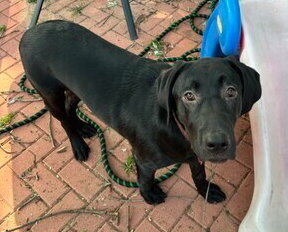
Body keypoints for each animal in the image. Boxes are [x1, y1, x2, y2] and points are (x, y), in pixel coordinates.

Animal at [19, 20, 260, 205]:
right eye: (188, 96)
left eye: (231, 91)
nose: (217, 144)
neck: (175, 128)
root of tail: (29, 32)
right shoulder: (144, 161)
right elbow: (145, 179)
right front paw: (148, 194)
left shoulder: (194, 156)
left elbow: (198, 175)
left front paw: (206, 191)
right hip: (49, 93)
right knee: (63, 120)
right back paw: (77, 144)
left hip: (75, 89)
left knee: (70, 107)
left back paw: (83, 127)